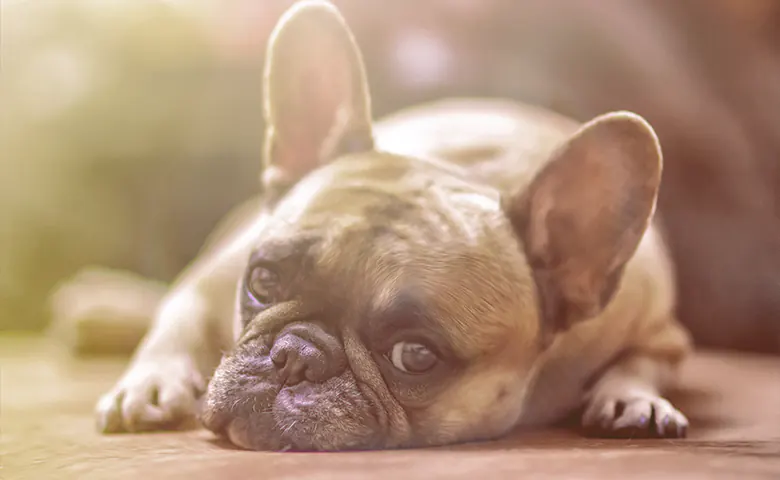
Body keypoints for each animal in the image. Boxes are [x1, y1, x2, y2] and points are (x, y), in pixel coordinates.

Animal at [94, 0, 692, 450]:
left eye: (415, 356)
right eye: (262, 281)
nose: (294, 356)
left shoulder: (661, 331)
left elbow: (645, 361)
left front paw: (633, 396)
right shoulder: (219, 277)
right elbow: (179, 315)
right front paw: (152, 379)